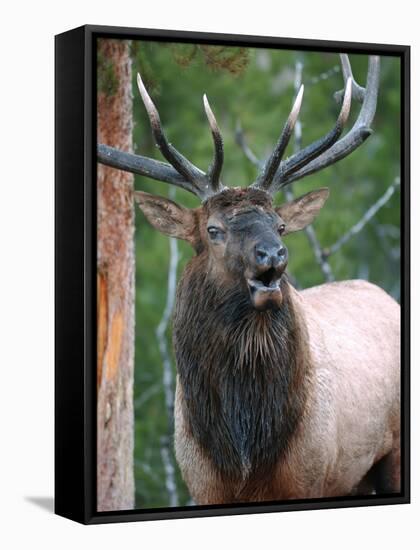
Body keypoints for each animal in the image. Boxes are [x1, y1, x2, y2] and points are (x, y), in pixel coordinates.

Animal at [97, 55, 400, 504]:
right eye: (213, 230)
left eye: (280, 225)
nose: (273, 254)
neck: (243, 452)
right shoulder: (202, 484)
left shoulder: (310, 478)